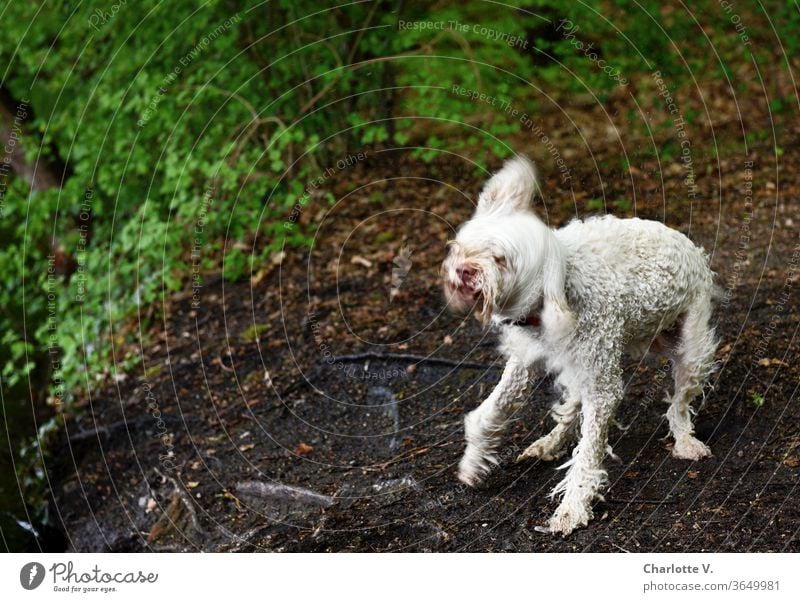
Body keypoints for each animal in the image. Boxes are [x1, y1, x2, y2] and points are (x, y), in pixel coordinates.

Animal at [444, 156, 720, 536]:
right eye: (463, 246)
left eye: (501, 259)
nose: (464, 271)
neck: (558, 289)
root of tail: (692, 246)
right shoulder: (524, 365)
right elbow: (489, 414)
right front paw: (474, 463)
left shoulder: (602, 387)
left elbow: (588, 452)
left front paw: (572, 507)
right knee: (572, 407)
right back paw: (549, 443)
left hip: (691, 349)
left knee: (679, 403)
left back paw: (685, 441)